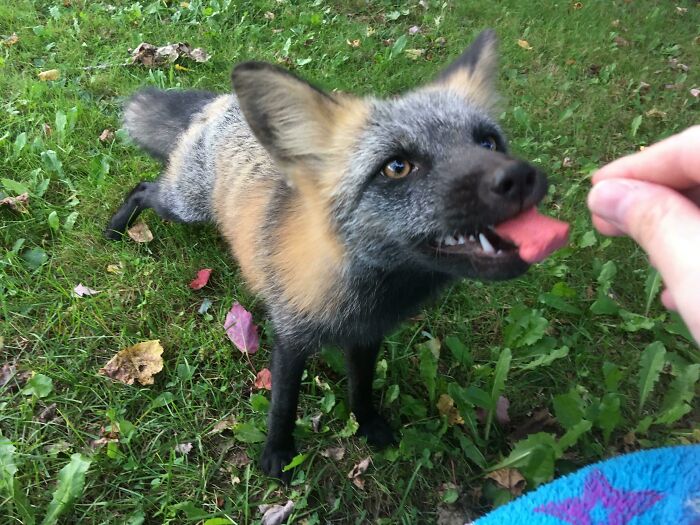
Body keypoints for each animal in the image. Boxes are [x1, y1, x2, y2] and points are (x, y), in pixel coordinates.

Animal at [106, 30, 567, 481]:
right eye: (396, 167)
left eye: (488, 142)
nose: (519, 177)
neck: (368, 295)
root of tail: (221, 103)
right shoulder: (290, 337)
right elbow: (283, 406)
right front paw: (278, 454)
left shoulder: (367, 337)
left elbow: (360, 389)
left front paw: (368, 425)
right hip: (184, 208)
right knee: (143, 188)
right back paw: (116, 228)